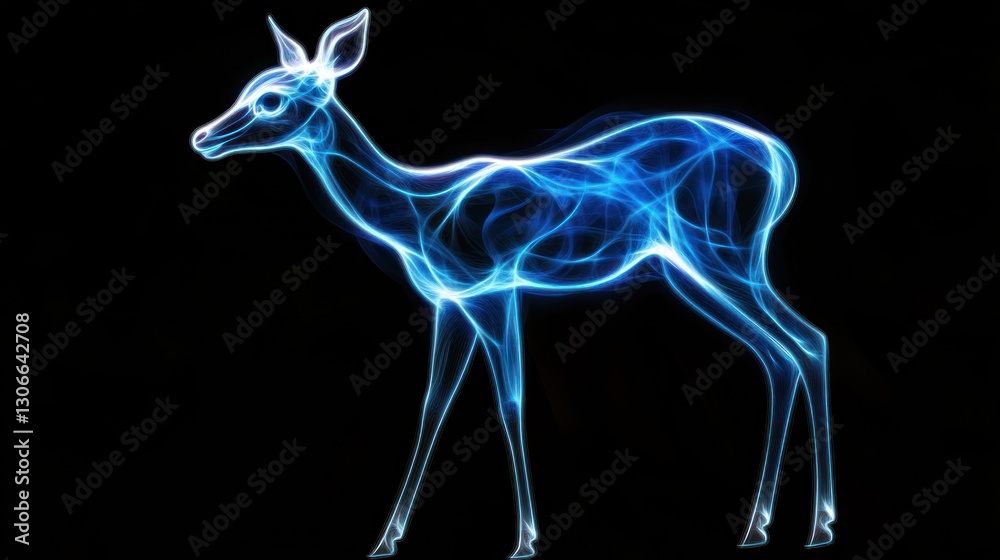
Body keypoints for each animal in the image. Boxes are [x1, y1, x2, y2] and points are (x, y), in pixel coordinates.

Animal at [190, 8, 836, 558]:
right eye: (246, 86)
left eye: (271, 99)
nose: (202, 138)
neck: (419, 211)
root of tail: (782, 160)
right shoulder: (451, 303)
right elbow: (432, 406)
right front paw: (385, 540)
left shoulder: (495, 290)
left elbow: (510, 400)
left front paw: (525, 539)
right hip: (692, 268)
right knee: (778, 354)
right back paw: (761, 528)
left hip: (722, 253)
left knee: (808, 341)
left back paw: (817, 528)